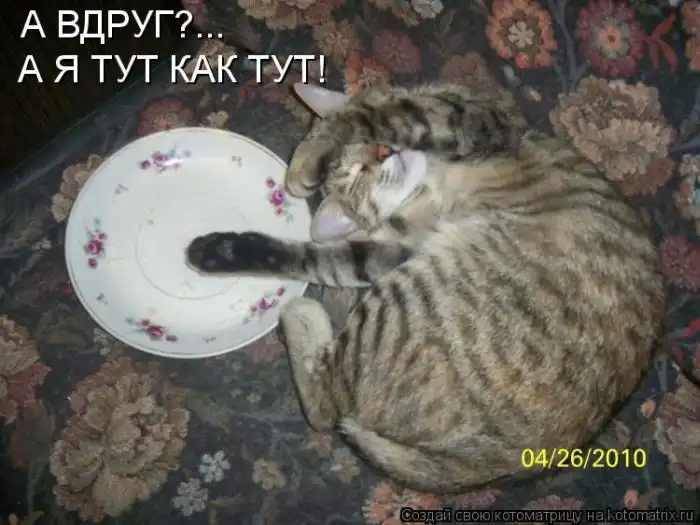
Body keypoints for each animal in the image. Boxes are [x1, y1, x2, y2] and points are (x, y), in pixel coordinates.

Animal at [185, 82, 667, 493]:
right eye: (356, 177)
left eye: (364, 157)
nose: (384, 152)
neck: (427, 183)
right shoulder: (393, 248)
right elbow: (317, 256)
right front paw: (220, 251)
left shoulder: (473, 119)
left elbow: (372, 111)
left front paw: (311, 155)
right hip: (411, 295)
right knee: (327, 403)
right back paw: (300, 313)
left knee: (329, 404)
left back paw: (300, 313)